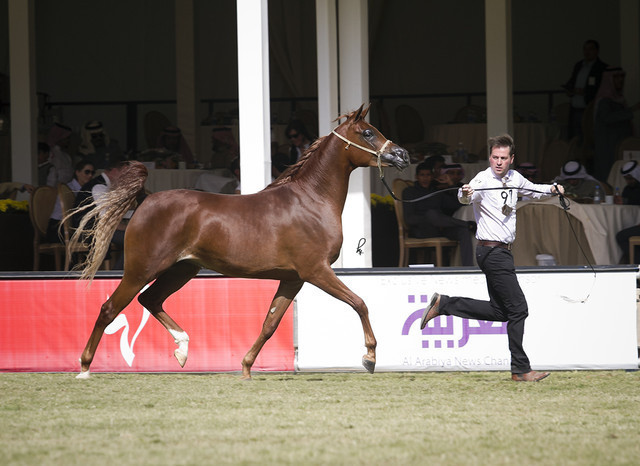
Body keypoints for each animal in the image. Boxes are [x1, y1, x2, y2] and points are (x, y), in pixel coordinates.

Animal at [71, 104, 409, 380]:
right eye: (368, 132)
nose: (402, 155)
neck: (310, 201)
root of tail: (146, 198)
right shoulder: (317, 271)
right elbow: (359, 303)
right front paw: (369, 357)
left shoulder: (294, 278)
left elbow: (270, 324)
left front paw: (246, 367)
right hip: (141, 270)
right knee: (110, 308)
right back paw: (85, 367)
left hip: (181, 270)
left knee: (150, 300)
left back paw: (182, 349)